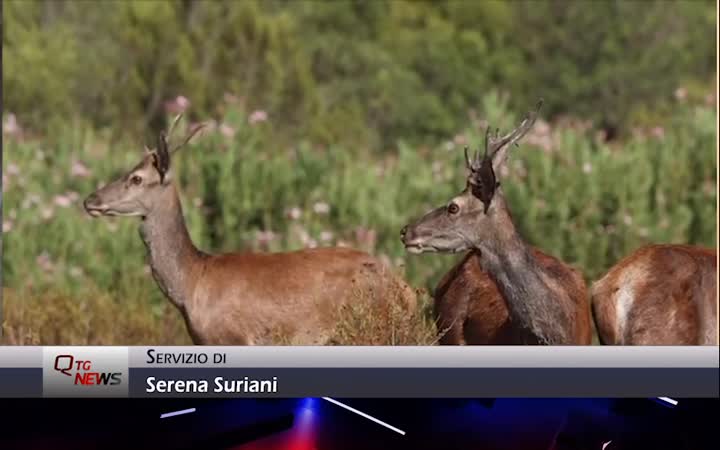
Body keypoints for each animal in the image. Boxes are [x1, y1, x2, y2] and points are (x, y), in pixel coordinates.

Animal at [83, 116, 416, 344]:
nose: (90, 200)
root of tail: (406, 291)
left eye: (136, 178)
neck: (192, 283)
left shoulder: (232, 338)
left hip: (372, 329)